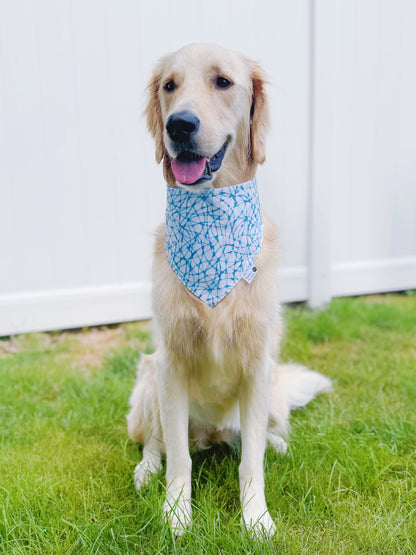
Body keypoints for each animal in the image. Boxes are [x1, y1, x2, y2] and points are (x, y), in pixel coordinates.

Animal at [127, 43, 332, 540]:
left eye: (223, 82)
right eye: (170, 86)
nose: (178, 125)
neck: (212, 220)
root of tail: (213, 435)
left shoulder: (257, 366)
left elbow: (250, 463)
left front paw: (256, 518)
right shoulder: (171, 364)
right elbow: (178, 459)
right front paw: (176, 514)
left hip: (270, 391)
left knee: (253, 439)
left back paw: (277, 442)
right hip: (149, 381)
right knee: (155, 443)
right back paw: (146, 471)